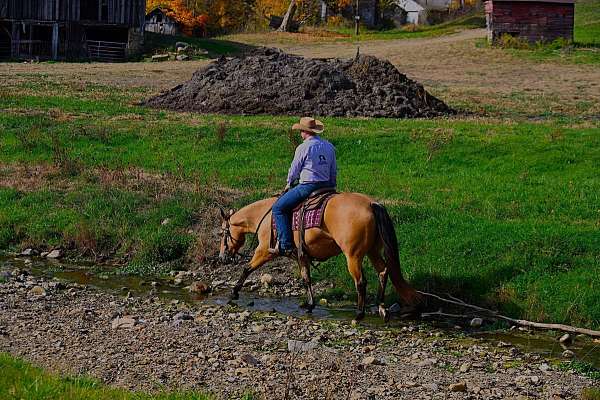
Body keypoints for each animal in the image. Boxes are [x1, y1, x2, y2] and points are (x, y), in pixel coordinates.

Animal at [218, 192, 420, 320]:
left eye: (222, 233)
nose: (221, 257)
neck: (265, 216)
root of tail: (372, 204)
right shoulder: (302, 256)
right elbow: (306, 279)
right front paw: (309, 305)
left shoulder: (264, 251)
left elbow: (247, 269)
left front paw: (234, 292)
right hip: (372, 251)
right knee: (383, 272)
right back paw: (381, 308)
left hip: (353, 256)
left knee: (361, 282)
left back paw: (359, 314)